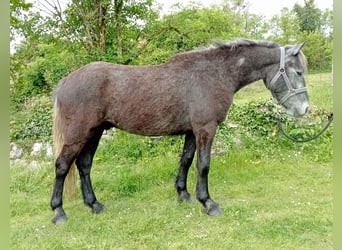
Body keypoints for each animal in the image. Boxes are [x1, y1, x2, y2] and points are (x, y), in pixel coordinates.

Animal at [50, 39, 310, 225]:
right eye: (298, 72)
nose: (305, 109)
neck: (214, 73)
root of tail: (66, 82)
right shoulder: (206, 128)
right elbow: (203, 165)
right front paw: (208, 203)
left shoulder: (192, 131)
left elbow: (186, 160)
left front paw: (183, 194)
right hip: (79, 133)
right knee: (62, 165)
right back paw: (58, 212)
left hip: (94, 133)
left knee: (84, 166)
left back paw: (94, 205)